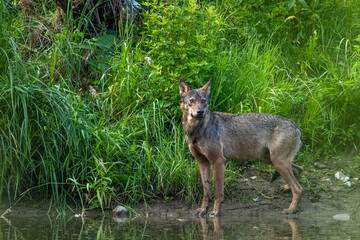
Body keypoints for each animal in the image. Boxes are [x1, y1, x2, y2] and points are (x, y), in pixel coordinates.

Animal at [179, 78, 302, 217]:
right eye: (192, 101)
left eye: (204, 101)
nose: (200, 112)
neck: (196, 130)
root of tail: (296, 126)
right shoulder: (202, 162)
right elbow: (206, 191)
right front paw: (202, 210)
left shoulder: (218, 162)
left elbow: (217, 192)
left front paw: (215, 213)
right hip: (271, 160)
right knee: (299, 170)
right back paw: (287, 189)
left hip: (277, 162)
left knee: (298, 188)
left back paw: (291, 209)